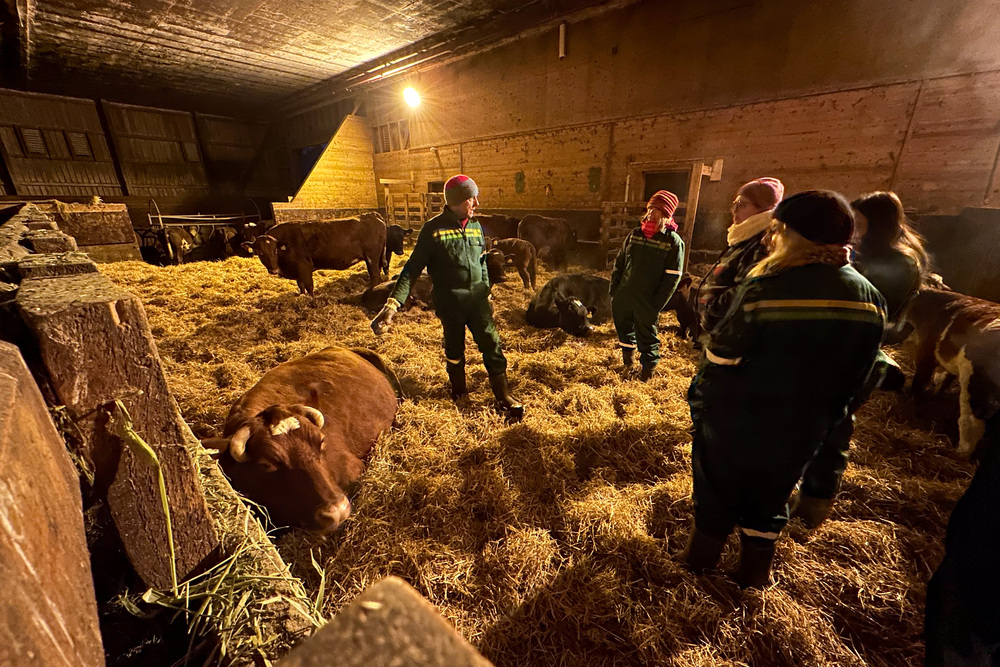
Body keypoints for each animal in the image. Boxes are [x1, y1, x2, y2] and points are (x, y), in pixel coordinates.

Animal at [244, 213, 388, 296]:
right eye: (260, 253)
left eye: (275, 251)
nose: (273, 270)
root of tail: (372, 214)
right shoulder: (298, 271)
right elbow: (301, 286)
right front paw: (301, 296)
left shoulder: (304, 267)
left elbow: (309, 286)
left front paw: (311, 300)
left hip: (371, 257)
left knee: (375, 276)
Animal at [904, 290, 1000, 456]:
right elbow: (945, 378)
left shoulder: (927, 347)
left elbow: (922, 376)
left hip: (975, 384)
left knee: (972, 420)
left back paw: (960, 452)